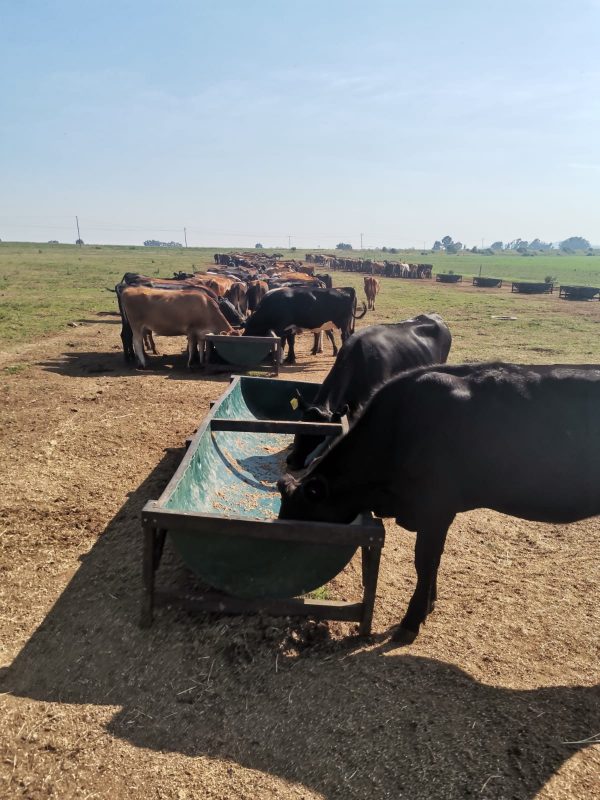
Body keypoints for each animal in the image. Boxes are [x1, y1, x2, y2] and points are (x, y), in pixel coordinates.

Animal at [280, 362, 600, 644]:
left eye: (299, 519)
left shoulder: (436, 509)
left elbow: (425, 561)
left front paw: (411, 621)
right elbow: (432, 563)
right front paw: (428, 605)